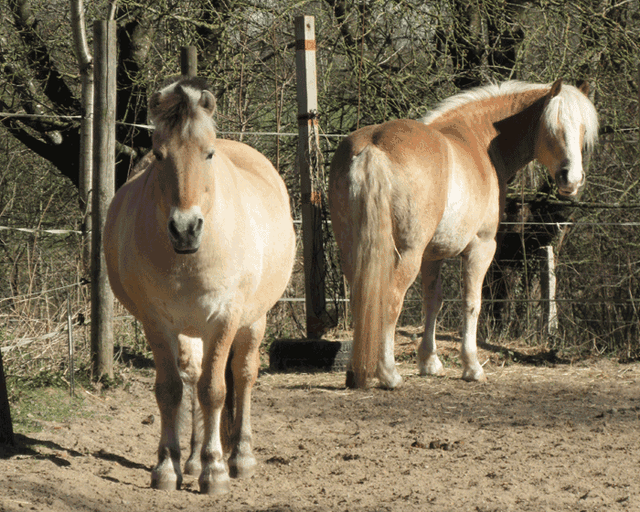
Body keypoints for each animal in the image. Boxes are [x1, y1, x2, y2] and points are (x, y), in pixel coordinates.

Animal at [104, 76, 296, 494]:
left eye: (208, 154)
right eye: (159, 155)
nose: (185, 228)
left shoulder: (225, 318)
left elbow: (215, 390)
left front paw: (216, 470)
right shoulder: (157, 322)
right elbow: (171, 390)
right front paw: (168, 466)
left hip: (252, 321)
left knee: (243, 375)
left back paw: (240, 456)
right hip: (190, 329)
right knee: (191, 378)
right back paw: (191, 458)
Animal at [328, 79, 598, 389]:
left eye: (583, 129)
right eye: (553, 127)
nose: (572, 179)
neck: (481, 140)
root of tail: (373, 147)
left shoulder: (432, 256)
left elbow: (433, 301)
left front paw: (429, 362)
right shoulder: (480, 248)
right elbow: (471, 303)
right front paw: (472, 367)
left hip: (353, 252)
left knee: (362, 300)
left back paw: (355, 372)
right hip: (405, 255)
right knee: (390, 300)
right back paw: (389, 374)